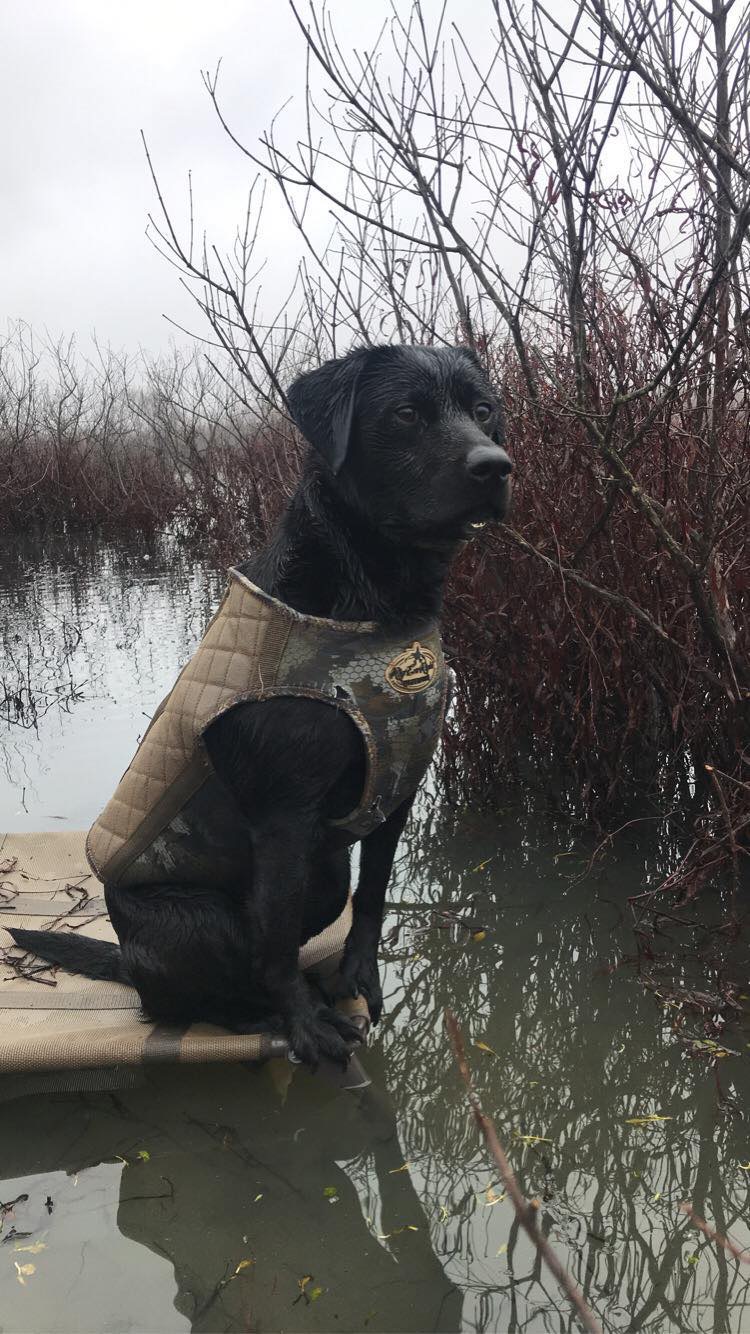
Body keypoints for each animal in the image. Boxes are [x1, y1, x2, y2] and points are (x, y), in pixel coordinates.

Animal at [11, 341, 509, 1061]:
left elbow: (374, 895)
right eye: (406, 414)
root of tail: (126, 954)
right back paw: (255, 1013)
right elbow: (273, 939)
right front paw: (304, 1022)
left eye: (483, 409)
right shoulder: (283, 816)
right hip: (200, 919)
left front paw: (357, 977)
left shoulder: (397, 792)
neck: (374, 611)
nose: (495, 466)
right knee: (187, 989)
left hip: (324, 873)